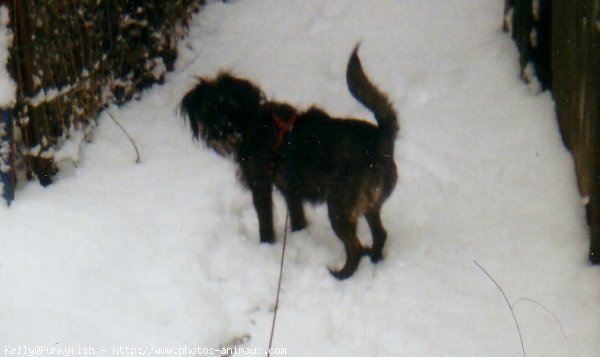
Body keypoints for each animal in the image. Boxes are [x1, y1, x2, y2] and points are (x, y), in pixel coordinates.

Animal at [180, 45, 400, 278]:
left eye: (230, 106)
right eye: (207, 110)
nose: (221, 131)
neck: (252, 124)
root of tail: (380, 139)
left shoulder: (261, 186)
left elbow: (265, 220)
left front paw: (266, 245)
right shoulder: (290, 189)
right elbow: (297, 215)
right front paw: (299, 234)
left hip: (339, 208)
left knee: (356, 248)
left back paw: (341, 275)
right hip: (369, 205)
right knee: (380, 234)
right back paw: (375, 258)